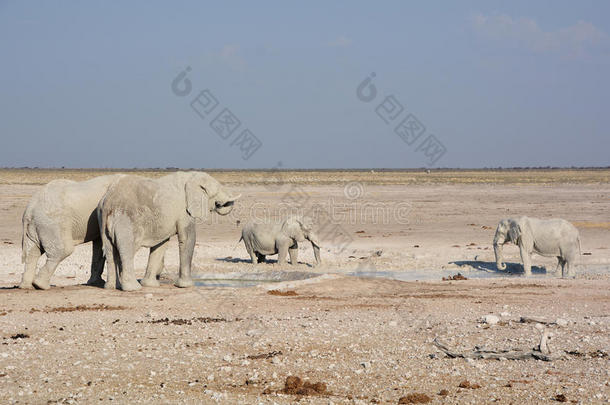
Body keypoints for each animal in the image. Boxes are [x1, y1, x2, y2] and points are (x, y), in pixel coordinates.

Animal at [97, 170, 238, 290]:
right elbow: (188, 238)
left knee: (110, 250)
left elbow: (161, 244)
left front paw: (151, 285)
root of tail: (108, 202)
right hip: (126, 221)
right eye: (217, 193)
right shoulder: (184, 211)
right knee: (127, 250)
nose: (220, 204)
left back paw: (112, 287)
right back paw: (132, 288)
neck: (191, 176)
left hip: (102, 220)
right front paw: (186, 286)